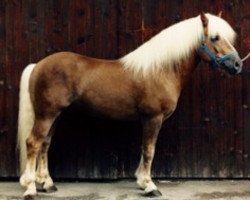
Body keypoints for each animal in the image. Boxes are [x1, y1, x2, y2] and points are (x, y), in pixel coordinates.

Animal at [18, 12, 244, 198]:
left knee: (45, 144)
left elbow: (144, 149)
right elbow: (149, 150)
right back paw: (30, 188)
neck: (160, 70)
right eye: (215, 37)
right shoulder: (153, 118)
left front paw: (142, 182)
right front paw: (150, 186)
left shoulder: (149, 120)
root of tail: (38, 65)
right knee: (33, 143)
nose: (237, 64)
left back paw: (47, 184)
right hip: (46, 115)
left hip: (55, 115)